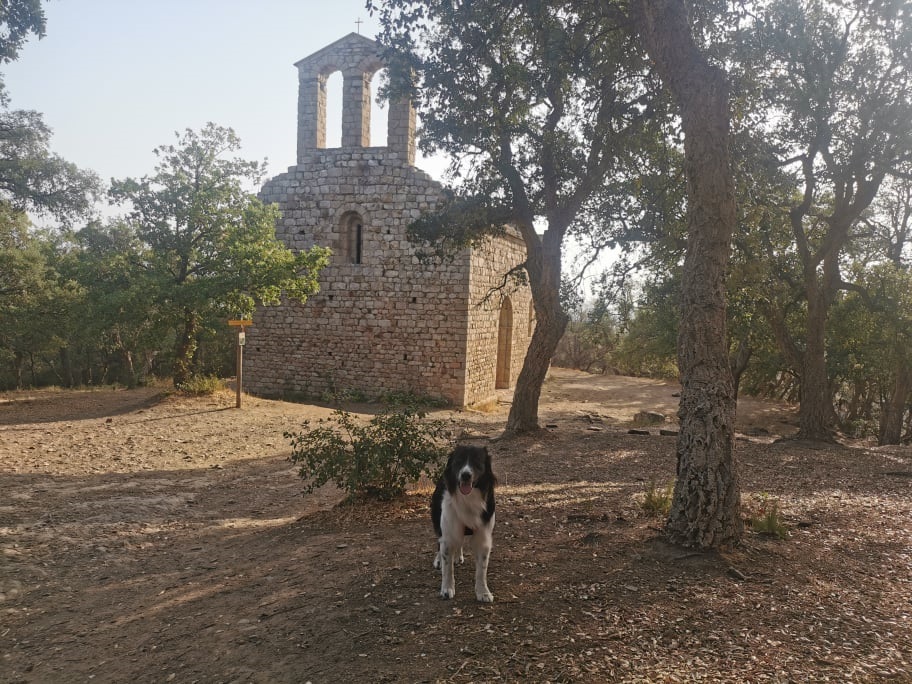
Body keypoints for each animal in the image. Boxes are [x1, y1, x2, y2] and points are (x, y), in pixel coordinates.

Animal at [432, 446, 496, 600]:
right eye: (459, 461)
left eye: (477, 462)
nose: (466, 475)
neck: (468, 499)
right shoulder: (448, 534)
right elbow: (448, 568)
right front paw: (447, 589)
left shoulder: (483, 537)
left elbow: (481, 570)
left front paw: (483, 592)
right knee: (439, 542)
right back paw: (439, 559)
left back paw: (457, 556)